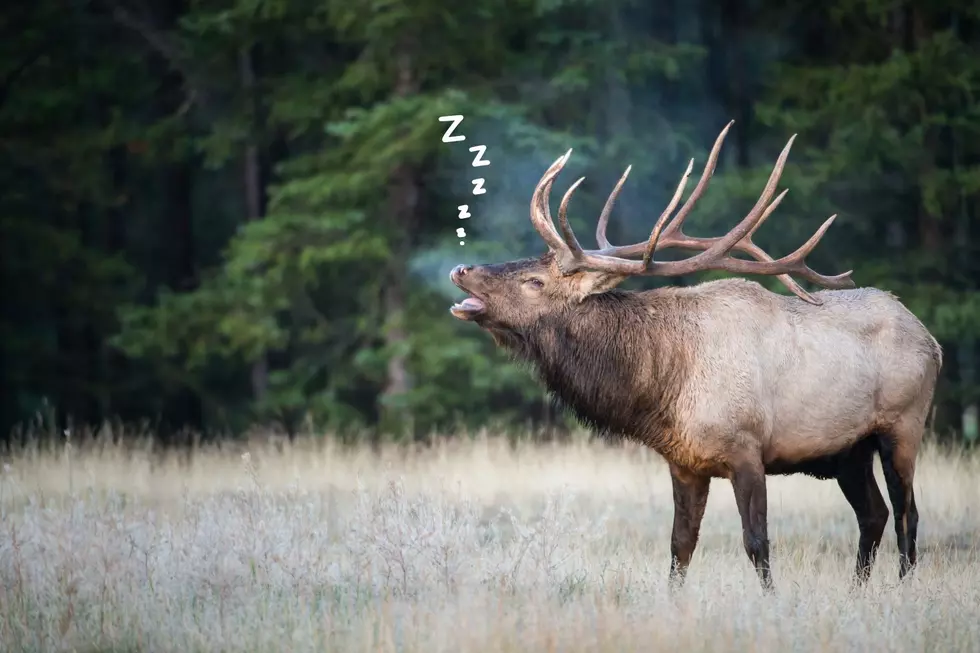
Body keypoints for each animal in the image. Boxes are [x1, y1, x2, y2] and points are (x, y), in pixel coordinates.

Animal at [450, 118, 940, 592]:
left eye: (533, 281)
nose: (461, 268)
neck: (664, 386)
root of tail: (931, 340)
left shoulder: (747, 447)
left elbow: (756, 541)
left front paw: (771, 600)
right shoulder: (684, 463)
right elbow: (680, 545)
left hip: (903, 425)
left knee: (907, 515)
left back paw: (903, 589)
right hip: (848, 450)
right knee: (874, 514)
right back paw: (857, 591)